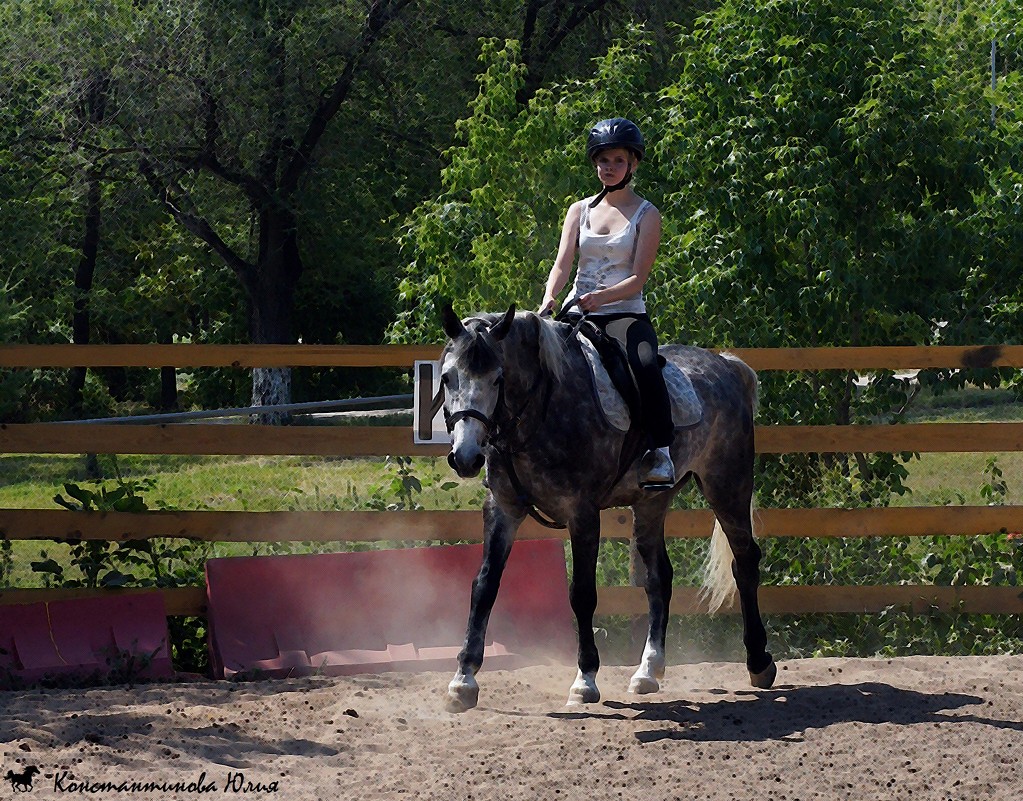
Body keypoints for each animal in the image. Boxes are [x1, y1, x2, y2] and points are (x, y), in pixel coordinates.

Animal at [439, 304, 773, 712]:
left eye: (497, 378)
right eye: (447, 377)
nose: (465, 457)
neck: (543, 409)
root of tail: (726, 365)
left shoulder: (582, 513)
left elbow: (582, 593)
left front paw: (585, 679)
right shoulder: (503, 509)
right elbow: (484, 586)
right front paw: (463, 680)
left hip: (727, 485)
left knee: (745, 562)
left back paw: (759, 662)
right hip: (652, 502)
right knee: (659, 577)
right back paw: (648, 670)